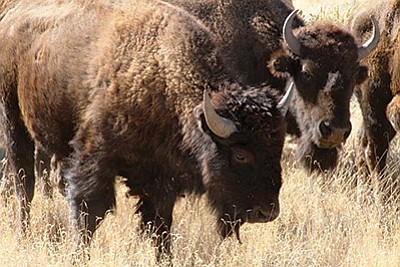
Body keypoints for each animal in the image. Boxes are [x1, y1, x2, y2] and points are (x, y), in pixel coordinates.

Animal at [0, 0, 294, 260]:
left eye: (277, 149)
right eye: (241, 154)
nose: (267, 212)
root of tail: (12, 17)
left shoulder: (161, 176)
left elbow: (160, 225)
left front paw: (165, 258)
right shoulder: (95, 157)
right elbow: (89, 211)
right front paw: (77, 256)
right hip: (13, 117)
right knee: (24, 182)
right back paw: (23, 234)